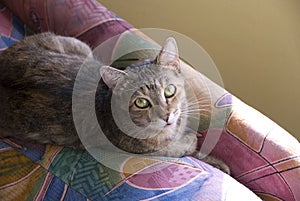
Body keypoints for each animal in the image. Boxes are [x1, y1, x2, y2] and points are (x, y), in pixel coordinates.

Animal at [0, 32, 230, 174]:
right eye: (141, 102)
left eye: (169, 91)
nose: (167, 116)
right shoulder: (155, 151)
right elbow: (186, 148)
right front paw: (197, 145)